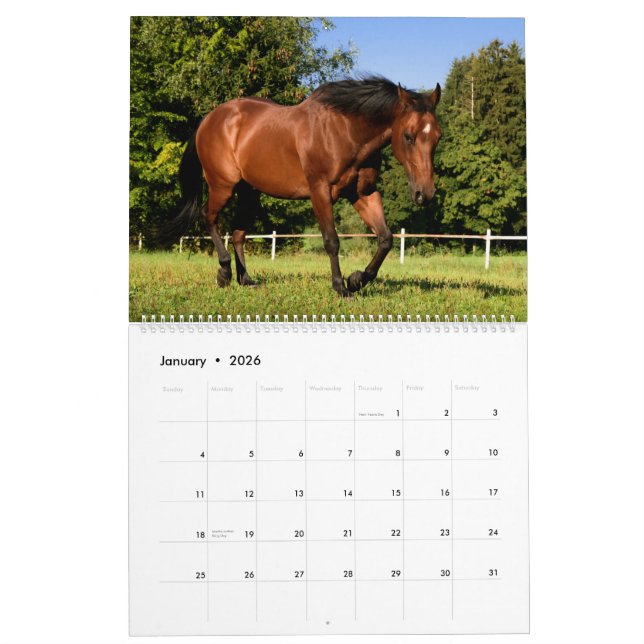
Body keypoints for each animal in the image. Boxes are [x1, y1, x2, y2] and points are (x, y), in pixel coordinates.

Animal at [165, 76, 441, 296]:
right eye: (408, 136)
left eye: (437, 137)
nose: (424, 194)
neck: (346, 131)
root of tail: (208, 120)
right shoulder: (320, 192)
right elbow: (332, 241)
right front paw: (340, 287)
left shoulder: (363, 193)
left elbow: (385, 239)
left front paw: (356, 280)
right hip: (223, 185)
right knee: (209, 217)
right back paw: (224, 273)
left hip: (249, 192)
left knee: (238, 233)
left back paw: (247, 280)